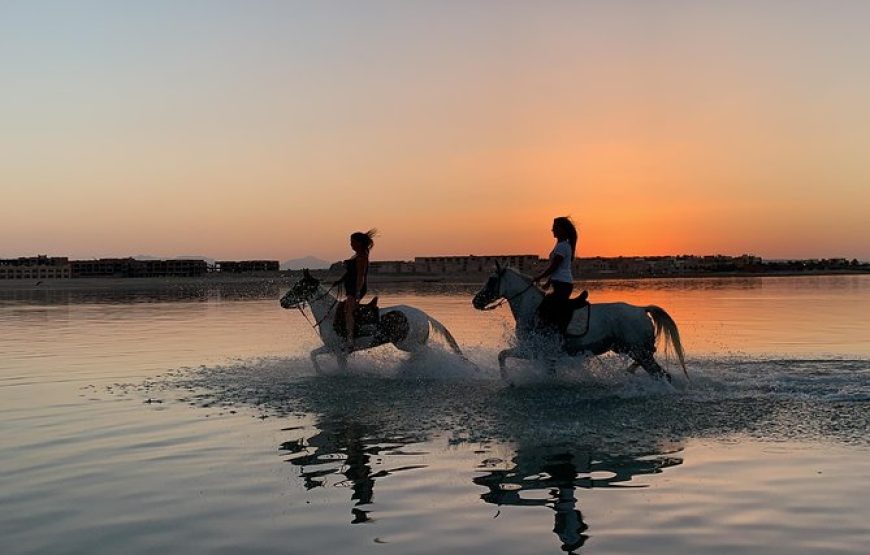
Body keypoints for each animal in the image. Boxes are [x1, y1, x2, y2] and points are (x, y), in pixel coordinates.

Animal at [282, 270, 466, 374]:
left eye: (298, 287)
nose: (282, 301)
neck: (330, 314)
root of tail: (424, 315)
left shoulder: (339, 350)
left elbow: (340, 367)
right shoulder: (332, 347)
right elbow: (312, 354)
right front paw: (320, 372)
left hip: (406, 343)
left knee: (426, 353)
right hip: (413, 343)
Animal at [476, 268, 688, 384]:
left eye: (491, 280)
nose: (476, 301)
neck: (532, 307)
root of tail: (641, 309)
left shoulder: (533, 350)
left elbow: (502, 355)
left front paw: (508, 380)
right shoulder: (543, 354)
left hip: (638, 351)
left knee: (662, 374)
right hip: (630, 349)